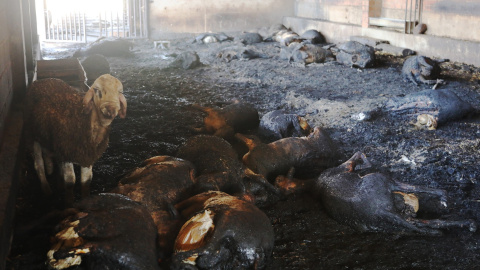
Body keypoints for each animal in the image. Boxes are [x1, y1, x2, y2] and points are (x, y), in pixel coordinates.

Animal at [25, 74, 126, 205]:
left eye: (120, 92)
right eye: (96, 90)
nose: (110, 110)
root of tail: (43, 80)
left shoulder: (87, 156)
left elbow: (86, 181)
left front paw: (85, 199)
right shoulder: (67, 153)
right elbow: (70, 181)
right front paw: (69, 202)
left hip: (48, 136)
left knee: (48, 153)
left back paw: (53, 174)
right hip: (32, 135)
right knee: (38, 164)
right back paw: (46, 188)